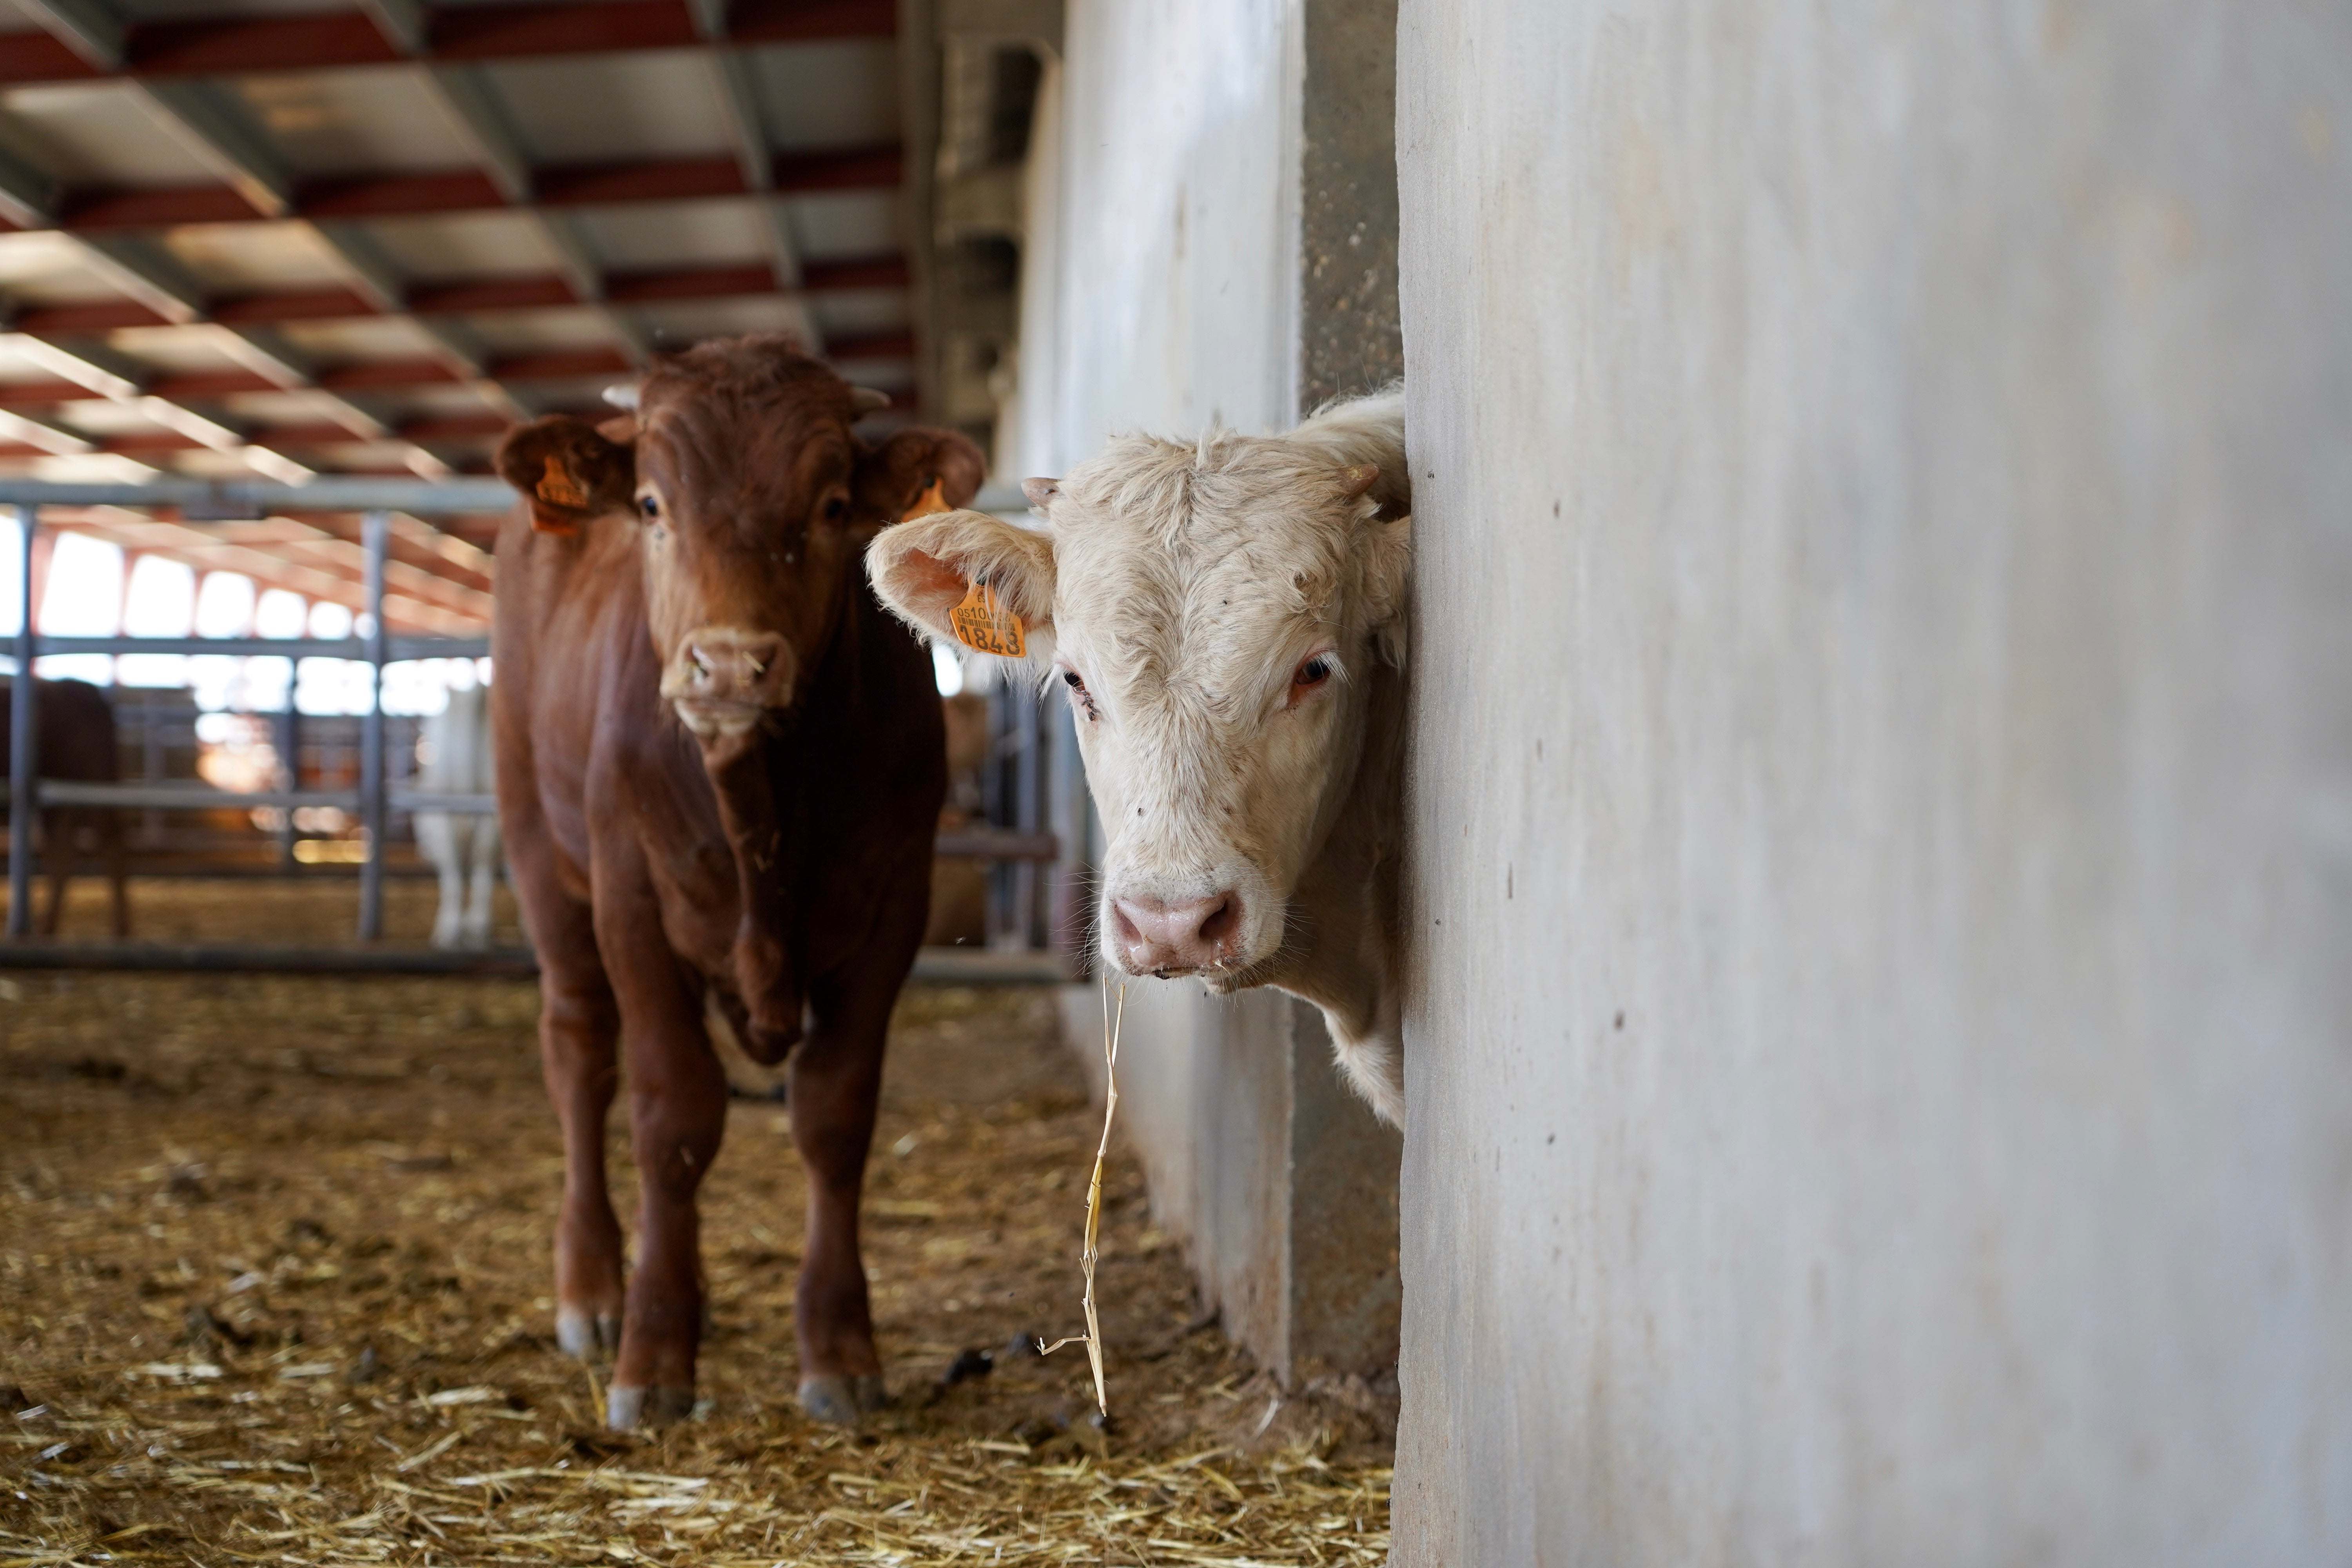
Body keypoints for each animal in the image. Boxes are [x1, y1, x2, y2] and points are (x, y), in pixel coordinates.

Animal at [0, 676, 131, 938]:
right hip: (61, 800)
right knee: (62, 853)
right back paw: (47, 927)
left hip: (95, 784)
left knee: (110, 845)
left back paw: (119, 929)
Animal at [491, 334, 984, 1428]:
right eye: (650, 505)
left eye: (834, 506)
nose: (726, 666)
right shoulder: (632, 898)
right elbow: (673, 1116)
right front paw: (653, 1351)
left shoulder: (895, 904)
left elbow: (834, 1117)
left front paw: (838, 1345)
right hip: (541, 853)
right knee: (579, 1053)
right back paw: (595, 1287)